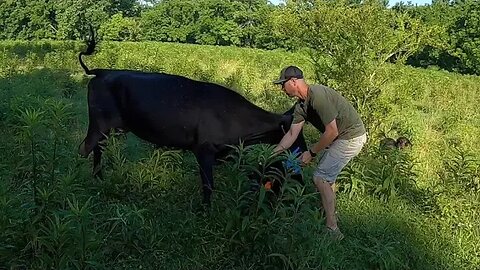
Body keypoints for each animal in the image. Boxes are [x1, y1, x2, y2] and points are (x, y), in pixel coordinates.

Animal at [77, 26, 306, 205]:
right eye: (297, 136)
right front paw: (205, 213)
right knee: (85, 149)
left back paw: (100, 177)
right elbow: (208, 186)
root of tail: (102, 71)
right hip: (99, 124)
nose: (305, 154)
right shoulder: (204, 149)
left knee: (97, 149)